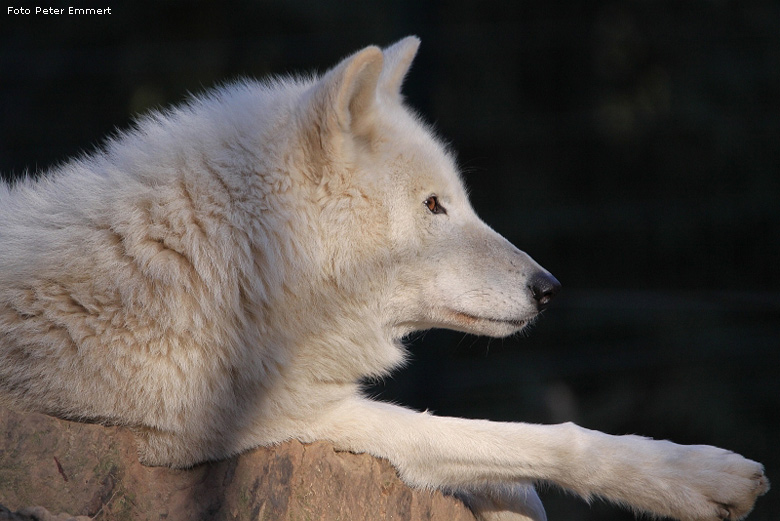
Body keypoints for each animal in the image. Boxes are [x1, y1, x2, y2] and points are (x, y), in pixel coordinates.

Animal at [0, 37, 768, 520]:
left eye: (458, 199)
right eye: (434, 206)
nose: (549, 287)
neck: (215, 267)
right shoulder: (260, 424)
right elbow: (504, 437)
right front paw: (695, 478)